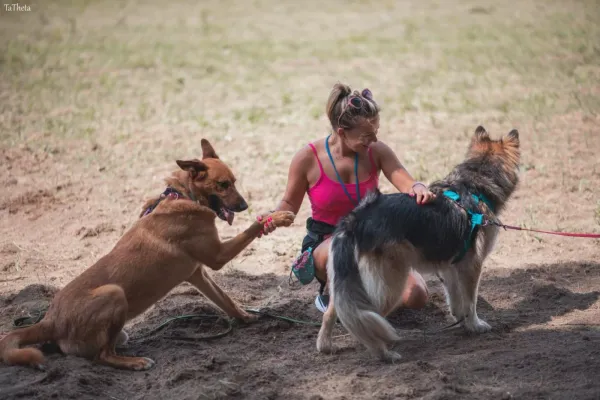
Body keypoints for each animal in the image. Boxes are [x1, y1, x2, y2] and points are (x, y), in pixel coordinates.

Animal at [1, 140, 296, 372]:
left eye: (234, 182)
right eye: (223, 185)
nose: (244, 205)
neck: (185, 195)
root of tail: (50, 320)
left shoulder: (198, 274)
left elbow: (226, 299)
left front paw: (245, 317)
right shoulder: (217, 257)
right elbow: (254, 228)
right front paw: (278, 217)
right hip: (114, 294)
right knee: (102, 356)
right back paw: (135, 362)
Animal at [318, 126, 520, 360]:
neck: (473, 184)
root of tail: (355, 219)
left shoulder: (450, 267)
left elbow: (456, 300)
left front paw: (460, 322)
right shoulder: (471, 266)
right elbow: (471, 302)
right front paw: (475, 325)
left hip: (347, 282)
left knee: (335, 313)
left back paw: (325, 346)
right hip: (392, 283)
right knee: (367, 320)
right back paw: (384, 354)